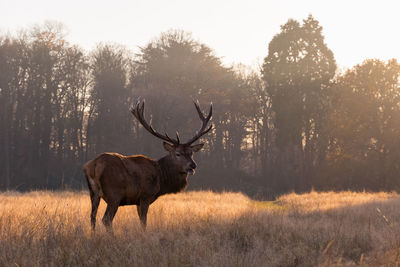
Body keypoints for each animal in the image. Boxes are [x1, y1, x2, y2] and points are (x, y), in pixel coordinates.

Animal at [81, 99, 212, 231]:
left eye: (191, 153)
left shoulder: (137, 201)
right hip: (114, 194)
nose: (193, 165)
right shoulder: (145, 195)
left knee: (92, 217)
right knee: (106, 219)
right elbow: (144, 222)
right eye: (178, 153)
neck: (161, 179)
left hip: (93, 193)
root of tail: (94, 165)